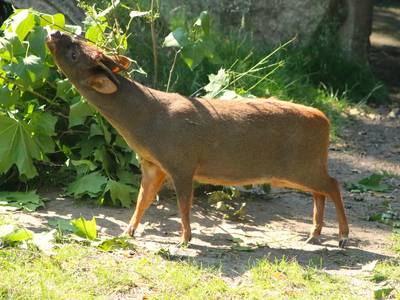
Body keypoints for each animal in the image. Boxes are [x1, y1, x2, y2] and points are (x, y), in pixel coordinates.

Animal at [47, 31, 350, 248]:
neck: (146, 123)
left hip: (301, 164)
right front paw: (127, 231)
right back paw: (314, 234)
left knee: (333, 184)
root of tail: (325, 120)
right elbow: (143, 200)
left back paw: (342, 237)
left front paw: (185, 239)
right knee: (320, 191)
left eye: (74, 53)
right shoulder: (152, 163)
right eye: (81, 39)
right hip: (296, 169)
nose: (52, 32)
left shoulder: (182, 161)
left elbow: (183, 203)